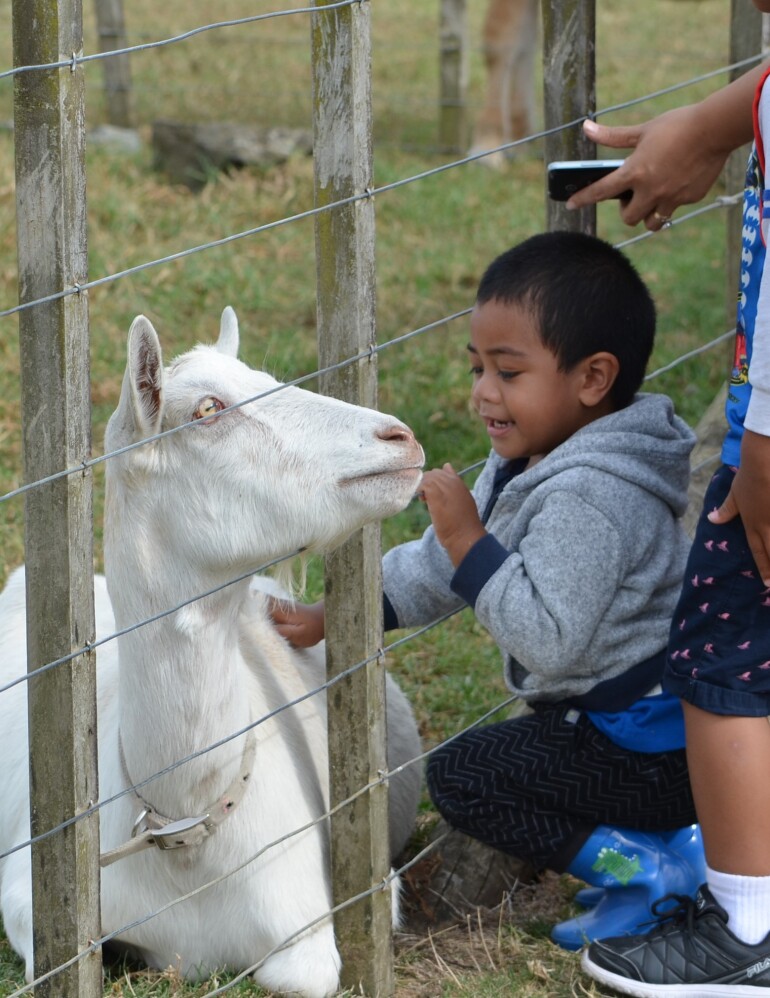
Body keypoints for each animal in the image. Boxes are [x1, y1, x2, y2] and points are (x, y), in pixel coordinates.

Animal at [0, 310, 424, 998]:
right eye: (207, 409)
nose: (400, 438)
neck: (186, 826)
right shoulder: (28, 902)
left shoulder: (330, 909)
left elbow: (305, 975)